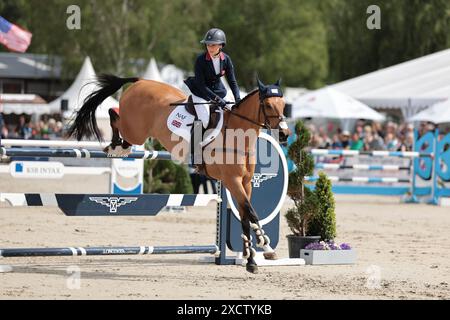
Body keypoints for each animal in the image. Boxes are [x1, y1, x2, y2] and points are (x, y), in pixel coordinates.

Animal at [68, 75, 290, 272]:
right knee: (114, 114)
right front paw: (263, 247)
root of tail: (140, 81)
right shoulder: (232, 180)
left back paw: (117, 146)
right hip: (136, 131)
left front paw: (253, 257)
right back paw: (115, 146)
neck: (238, 135)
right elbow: (251, 212)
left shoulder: (245, 182)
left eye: (283, 105)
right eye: (268, 106)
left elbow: (246, 216)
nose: (285, 134)